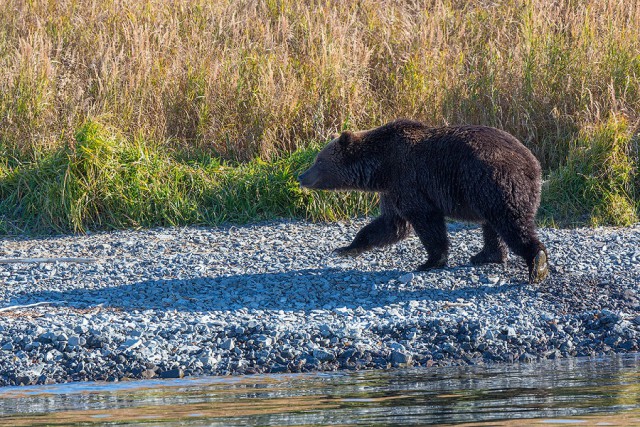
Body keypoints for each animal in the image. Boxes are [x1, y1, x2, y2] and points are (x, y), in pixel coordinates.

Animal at [298, 118, 548, 284]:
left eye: (318, 160)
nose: (301, 176)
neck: (380, 168)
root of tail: (534, 165)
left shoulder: (410, 180)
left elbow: (426, 221)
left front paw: (430, 261)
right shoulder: (392, 190)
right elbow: (390, 224)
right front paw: (346, 248)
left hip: (493, 181)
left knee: (510, 222)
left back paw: (538, 262)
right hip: (486, 190)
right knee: (492, 225)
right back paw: (486, 255)